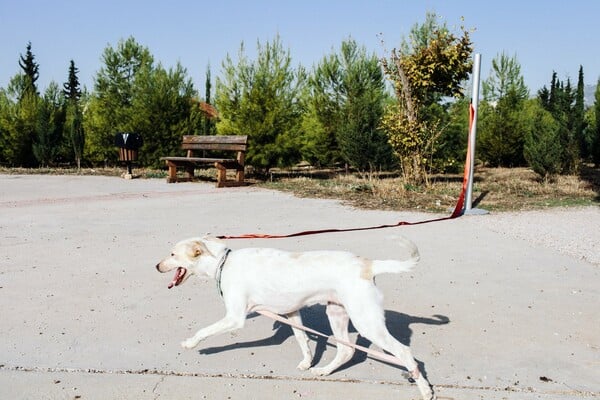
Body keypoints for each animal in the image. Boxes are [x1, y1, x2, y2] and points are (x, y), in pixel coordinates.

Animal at [157, 236, 434, 398]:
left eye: (172, 254)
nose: (156, 266)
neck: (223, 262)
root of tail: (369, 264)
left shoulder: (235, 318)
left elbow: (204, 331)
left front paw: (191, 343)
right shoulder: (291, 311)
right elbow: (303, 340)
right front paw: (308, 362)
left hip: (366, 322)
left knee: (405, 353)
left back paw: (424, 389)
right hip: (336, 313)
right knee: (346, 350)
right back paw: (324, 371)